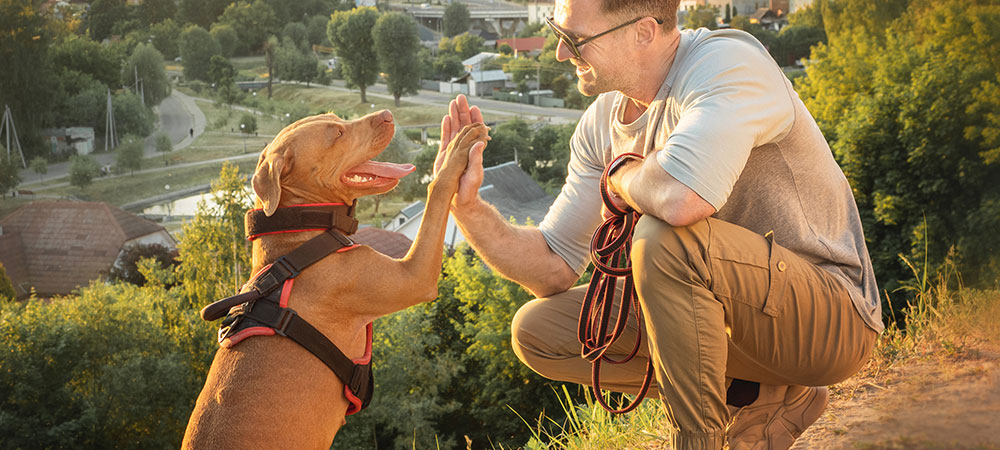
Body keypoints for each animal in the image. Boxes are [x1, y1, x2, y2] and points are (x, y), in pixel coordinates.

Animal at [183, 110, 488, 450]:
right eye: (337, 134)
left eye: (336, 118)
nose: (386, 114)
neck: (300, 235)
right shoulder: (415, 275)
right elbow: (437, 190)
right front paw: (455, 149)